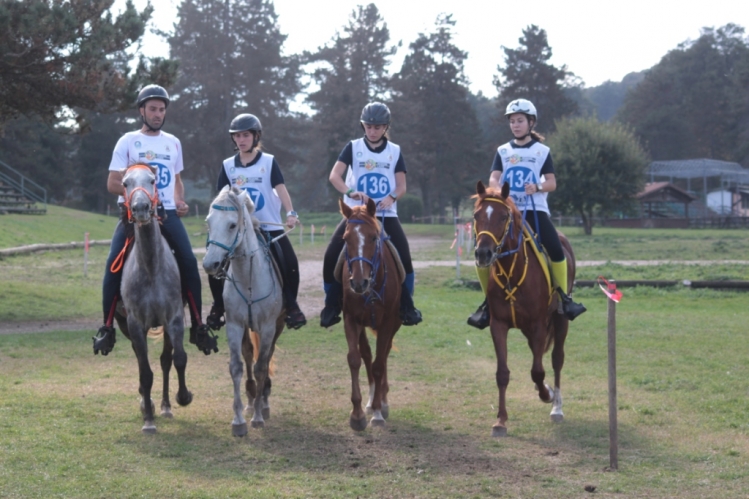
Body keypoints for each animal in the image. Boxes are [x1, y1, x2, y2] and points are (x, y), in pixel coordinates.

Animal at [116, 164, 191, 434]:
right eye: (125, 183)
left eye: (152, 180)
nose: (140, 208)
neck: (150, 267)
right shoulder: (135, 325)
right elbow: (145, 372)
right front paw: (148, 420)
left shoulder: (174, 319)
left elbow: (178, 359)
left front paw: (183, 397)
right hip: (125, 326)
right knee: (142, 362)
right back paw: (145, 403)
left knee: (165, 360)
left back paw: (166, 406)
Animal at [202, 186, 284, 436]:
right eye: (209, 222)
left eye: (231, 225)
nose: (209, 264)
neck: (249, 278)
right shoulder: (235, 325)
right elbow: (237, 367)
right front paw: (238, 420)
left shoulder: (267, 327)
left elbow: (261, 367)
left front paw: (258, 417)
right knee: (248, 354)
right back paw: (250, 400)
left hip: (277, 326)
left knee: (265, 358)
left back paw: (263, 402)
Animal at [338, 197, 400, 432]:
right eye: (345, 238)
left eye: (373, 237)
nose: (358, 282)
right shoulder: (351, 319)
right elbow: (355, 359)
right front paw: (357, 414)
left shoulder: (388, 322)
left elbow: (379, 364)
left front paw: (378, 412)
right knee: (366, 354)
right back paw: (371, 400)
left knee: (384, 355)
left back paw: (381, 401)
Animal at [474, 181, 572, 438]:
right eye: (476, 216)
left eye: (503, 216)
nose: (483, 253)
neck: (511, 270)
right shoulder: (498, 325)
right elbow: (502, 373)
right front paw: (500, 421)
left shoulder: (538, 325)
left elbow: (538, 371)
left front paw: (547, 394)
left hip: (560, 320)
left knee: (557, 359)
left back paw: (557, 406)